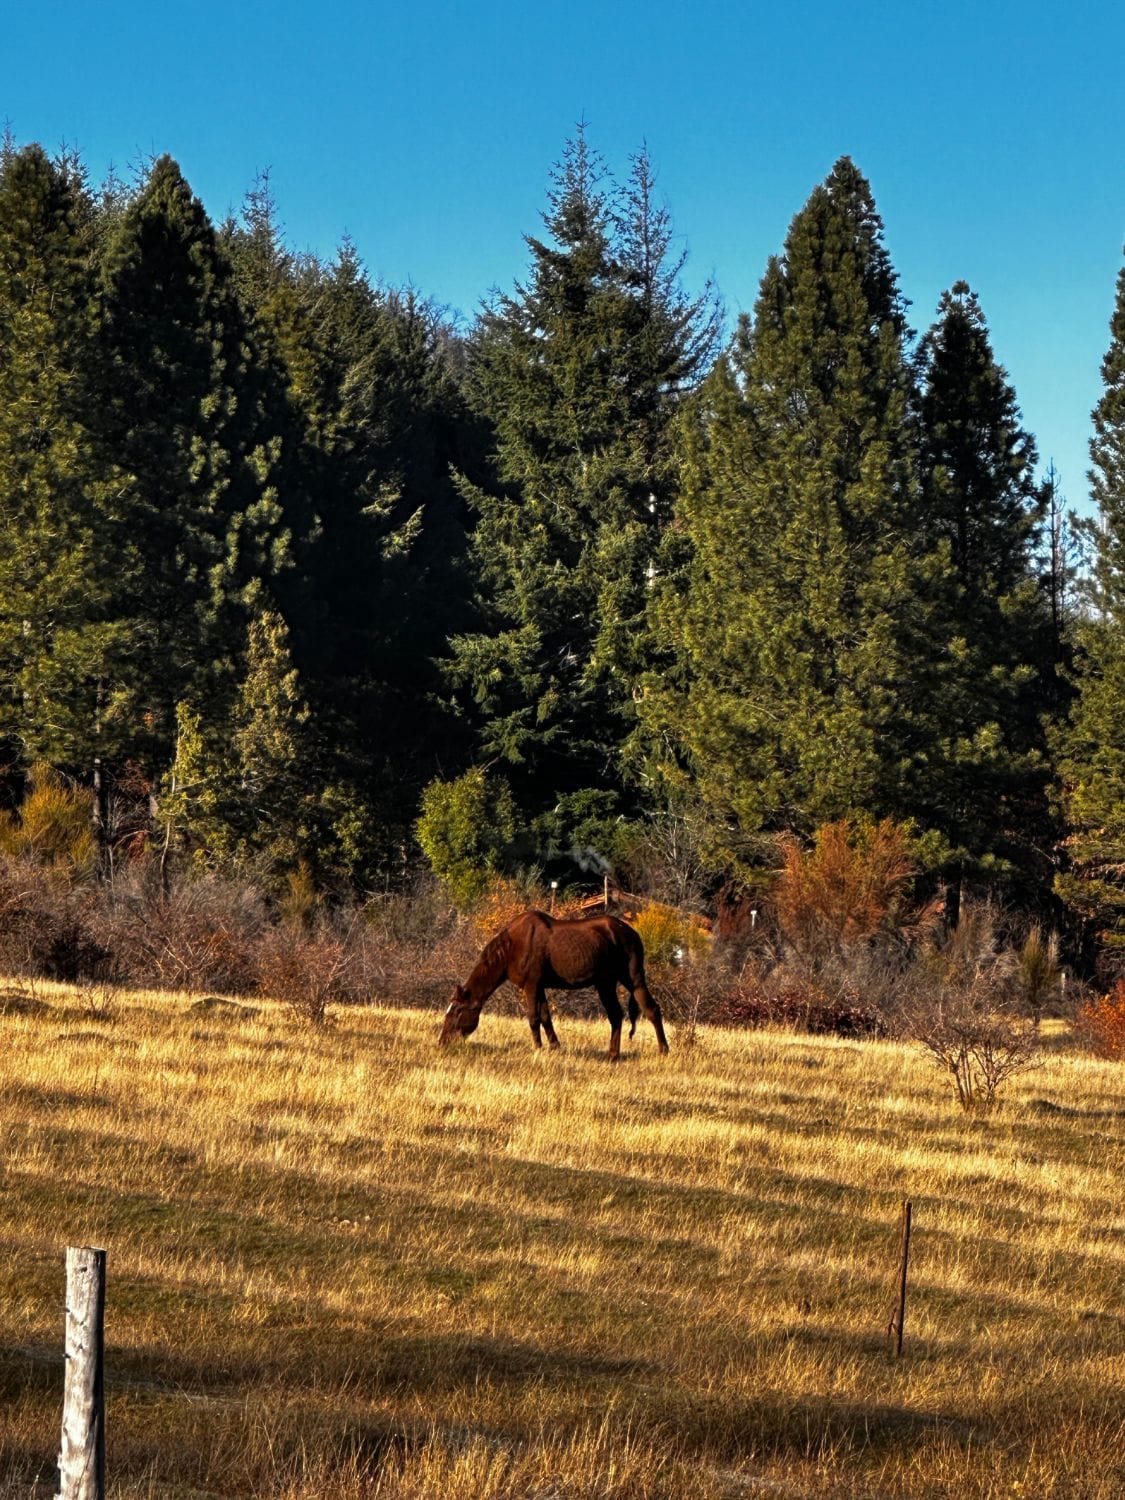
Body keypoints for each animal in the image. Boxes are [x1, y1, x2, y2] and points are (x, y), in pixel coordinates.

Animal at [439, 909, 669, 1060]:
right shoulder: (539, 986)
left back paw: (663, 1050)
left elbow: (533, 1018)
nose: (442, 1042)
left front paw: (538, 1047)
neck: (511, 949)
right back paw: (613, 1055)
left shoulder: (531, 985)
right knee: (616, 1015)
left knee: (651, 1010)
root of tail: (634, 934)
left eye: (457, 1012)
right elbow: (545, 1017)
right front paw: (554, 1046)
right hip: (605, 983)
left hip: (632, 978)